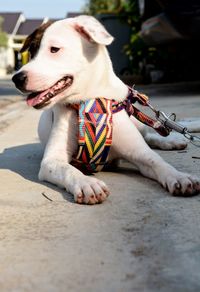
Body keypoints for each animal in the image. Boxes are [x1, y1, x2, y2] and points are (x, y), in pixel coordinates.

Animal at [12, 15, 198, 203]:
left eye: (54, 49)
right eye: (31, 52)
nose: (17, 78)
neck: (89, 103)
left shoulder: (139, 152)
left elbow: (156, 160)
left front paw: (179, 176)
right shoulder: (51, 161)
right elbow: (69, 170)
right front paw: (86, 183)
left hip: (135, 122)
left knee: (149, 136)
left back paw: (171, 140)